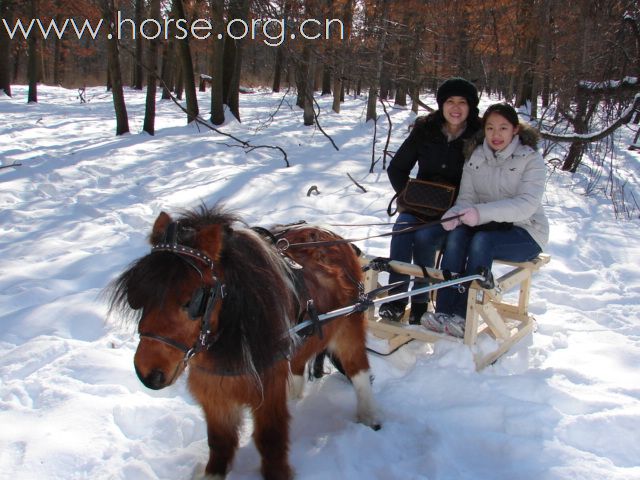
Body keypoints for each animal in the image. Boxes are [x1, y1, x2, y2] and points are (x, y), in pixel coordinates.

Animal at [109, 205, 380, 480]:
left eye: (192, 300)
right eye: (139, 296)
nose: (148, 374)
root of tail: (333, 235)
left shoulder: (266, 390)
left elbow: (270, 441)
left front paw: (277, 473)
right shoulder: (213, 390)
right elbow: (220, 442)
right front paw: (212, 474)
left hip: (348, 327)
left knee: (358, 371)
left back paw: (369, 417)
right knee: (298, 366)